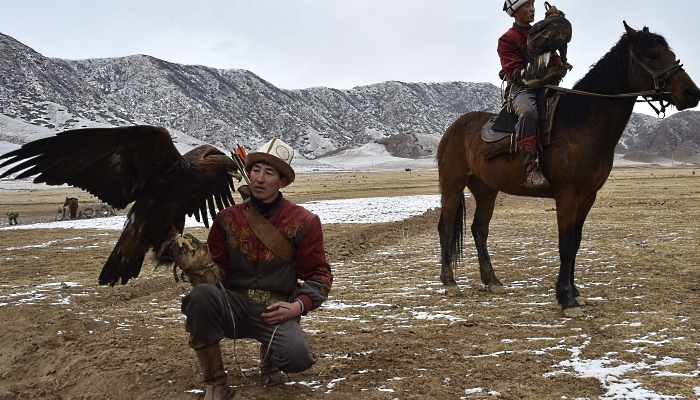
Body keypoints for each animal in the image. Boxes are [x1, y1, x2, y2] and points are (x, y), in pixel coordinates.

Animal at [434, 21, 696, 318]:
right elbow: (566, 243)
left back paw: (493, 281)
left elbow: (576, 242)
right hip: (453, 185)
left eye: (669, 52)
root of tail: (453, 128)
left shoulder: (587, 197)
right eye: (653, 54)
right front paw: (566, 298)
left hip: (486, 189)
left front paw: (575, 291)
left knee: (480, 230)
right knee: (446, 228)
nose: (691, 93)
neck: (581, 126)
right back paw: (450, 283)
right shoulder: (567, 195)